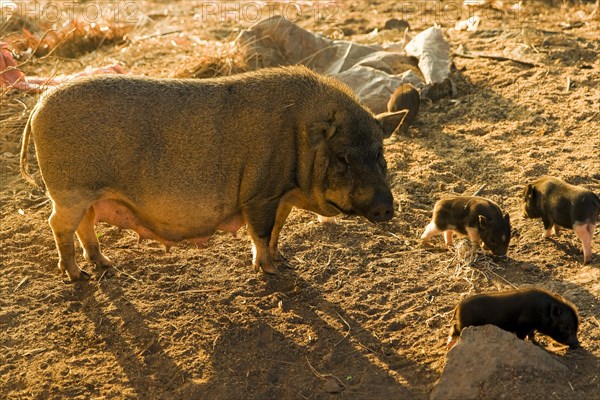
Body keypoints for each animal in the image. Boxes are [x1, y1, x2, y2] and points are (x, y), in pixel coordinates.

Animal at [22, 65, 408, 282]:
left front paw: (283, 261)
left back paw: (105, 265)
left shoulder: (279, 197)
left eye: (380, 154)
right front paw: (270, 271)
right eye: (342, 157)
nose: (386, 208)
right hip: (69, 191)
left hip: (87, 195)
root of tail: (37, 107)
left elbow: (277, 230)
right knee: (57, 225)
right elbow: (261, 233)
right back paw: (77, 277)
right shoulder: (259, 194)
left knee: (84, 225)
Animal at [450, 288, 580, 350]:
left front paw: (539, 343)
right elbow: (522, 336)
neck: (542, 311)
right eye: (566, 327)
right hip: (464, 324)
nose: (577, 345)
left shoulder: (531, 327)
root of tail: (457, 307)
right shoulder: (523, 324)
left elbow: (532, 335)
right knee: (454, 329)